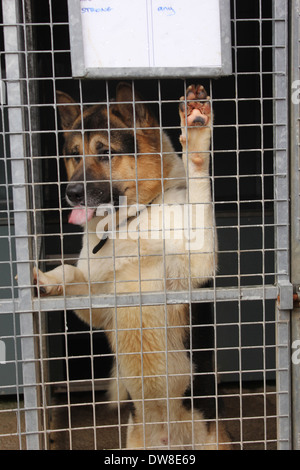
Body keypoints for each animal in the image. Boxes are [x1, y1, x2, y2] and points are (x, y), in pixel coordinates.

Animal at [34, 82, 232, 450]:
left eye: (105, 152)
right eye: (73, 153)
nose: (71, 193)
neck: (130, 222)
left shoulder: (196, 265)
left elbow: (199, 184)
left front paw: (196, 139)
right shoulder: (99, 308)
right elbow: (70, 273)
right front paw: (46, 279)